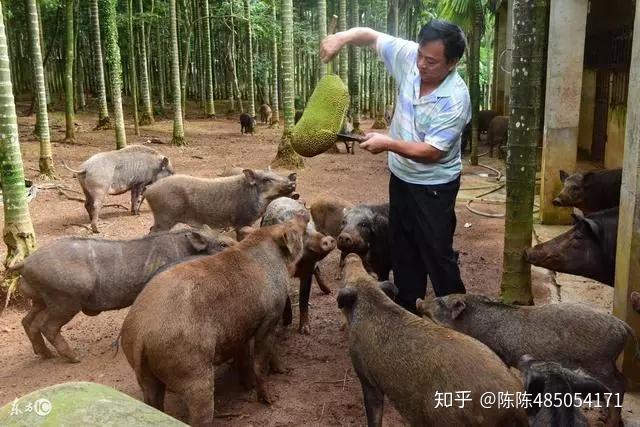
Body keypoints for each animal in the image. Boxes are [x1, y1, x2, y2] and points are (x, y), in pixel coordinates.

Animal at [122, 216, 310, 426]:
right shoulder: (270, 317)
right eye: (292, 230)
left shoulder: (241, 329)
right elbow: (261, 361)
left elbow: (246, 354)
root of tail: (140, 333)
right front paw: (271, 399)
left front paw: (256, 383)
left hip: (144, 374)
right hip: (190, 368)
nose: (304, 216)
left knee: (153, 403)